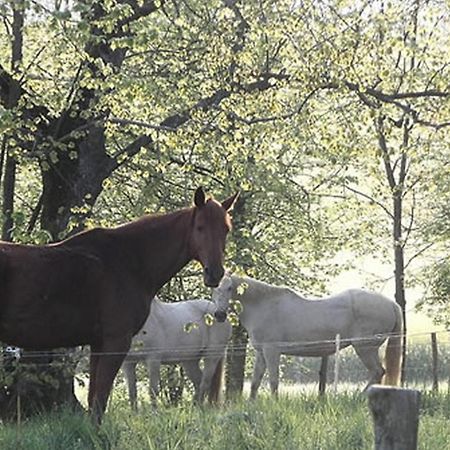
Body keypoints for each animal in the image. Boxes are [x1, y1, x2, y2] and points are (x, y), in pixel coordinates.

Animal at [0, 186, 239, 422]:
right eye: (200, 227)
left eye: (226, 229)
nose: (215, 273)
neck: (128, 260)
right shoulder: (116, 343)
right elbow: (99, 404)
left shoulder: (98, 345)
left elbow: (94, 400)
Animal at [213, 272, 402, 400]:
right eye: (214, 288)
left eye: (229, 288)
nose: (219, 315)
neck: (263, 305)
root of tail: (391, 304)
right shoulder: (261, 352)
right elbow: (255, 382)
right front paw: (251, 404)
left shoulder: (272, 351)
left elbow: (273, 380)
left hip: (365, 348)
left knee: (377, 371)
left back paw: (360, 397)